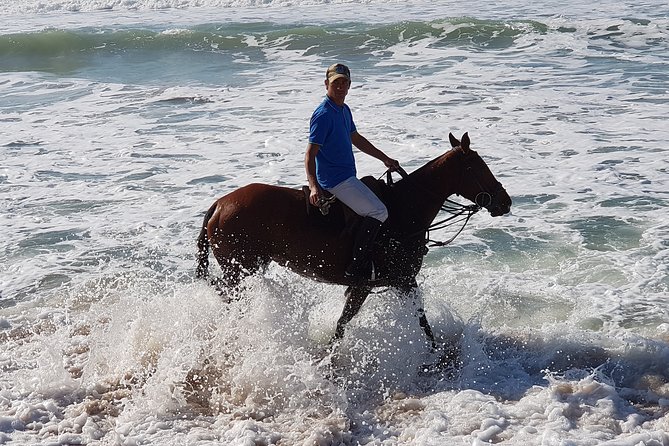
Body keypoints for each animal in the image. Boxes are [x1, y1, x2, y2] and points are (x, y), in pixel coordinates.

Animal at [196, 132, 511, 351]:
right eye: (478, 167)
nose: (505, 201)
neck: (404, 210)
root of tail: (219, 204)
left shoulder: (400, 282)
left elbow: (418, 321)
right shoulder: (379, 282)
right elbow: (348, 323)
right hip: (238, 269)